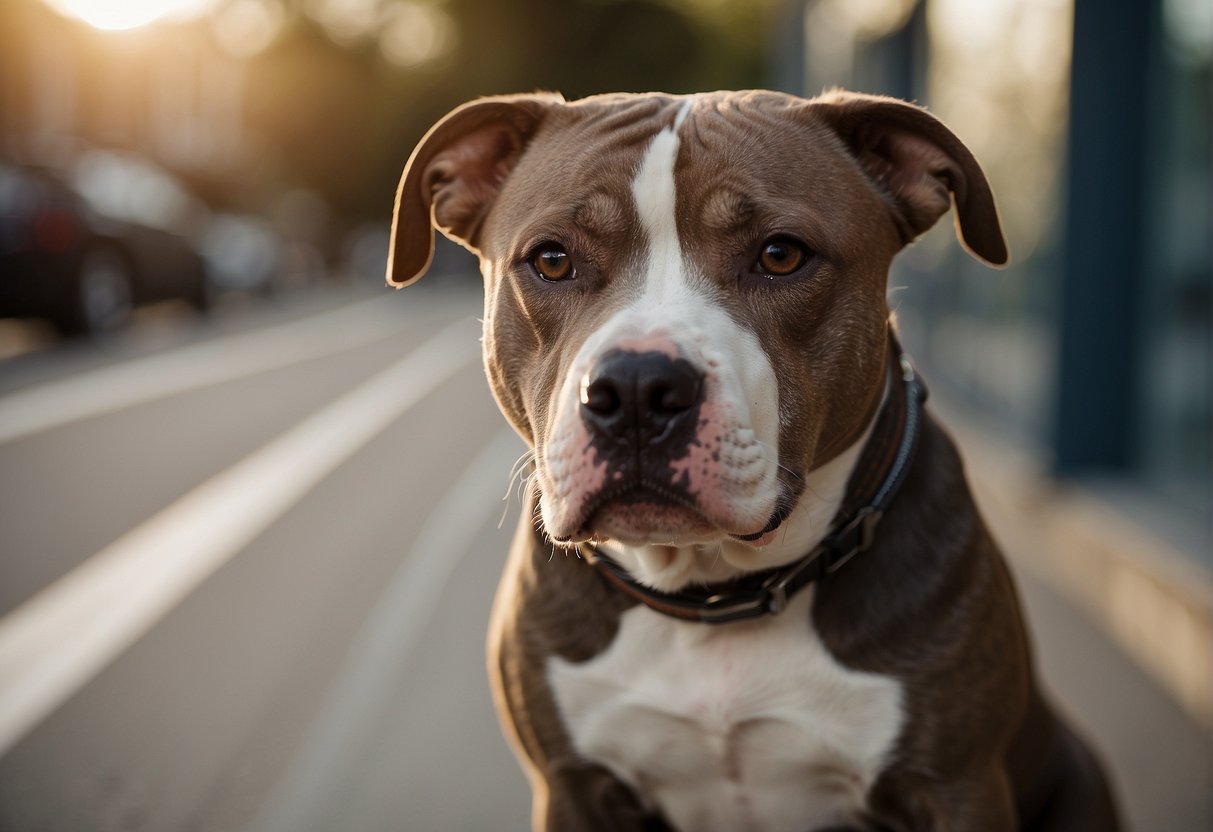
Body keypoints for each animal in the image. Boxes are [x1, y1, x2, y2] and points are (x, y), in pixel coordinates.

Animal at [385, 90, 1115, 832]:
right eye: (553, 260)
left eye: (781, 255)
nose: (638, 388)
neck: (713, 596)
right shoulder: (571, 787)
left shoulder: (957, 788)